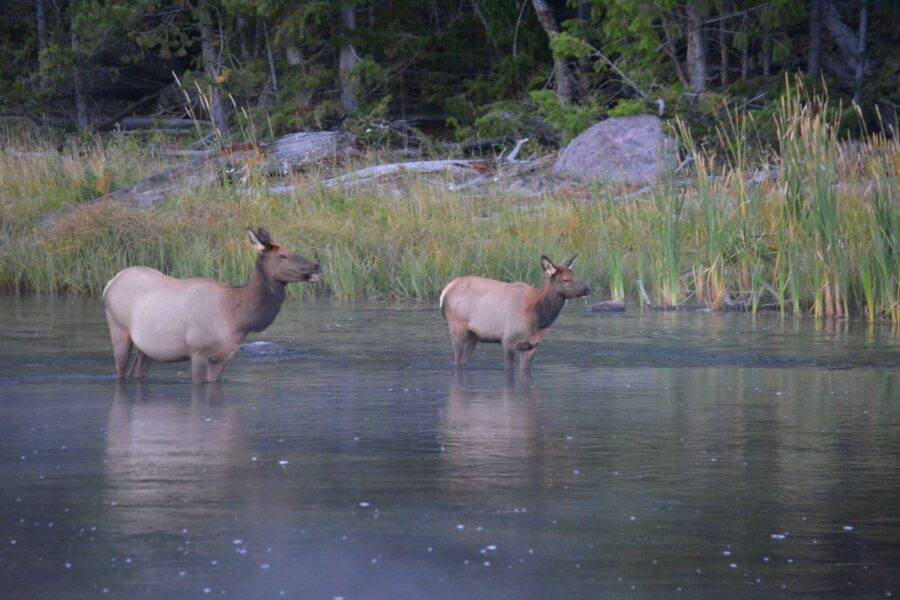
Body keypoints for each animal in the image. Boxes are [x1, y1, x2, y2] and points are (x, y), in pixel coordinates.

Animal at [103, 227, 320, 382]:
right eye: (282, 256)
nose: (316, 265)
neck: (238, 319)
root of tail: (110, 282)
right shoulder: (198, 351)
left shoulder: (224, 356)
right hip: (119, 330)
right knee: (121, 372)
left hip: (147, 347)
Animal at [438, 253, 592, 370]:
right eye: (565, 280)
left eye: (577, 276)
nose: (587, 289)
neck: (537, 320)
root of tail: (446, 290)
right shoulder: (508, 340)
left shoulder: (532, 346)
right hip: (457, 327)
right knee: (456, 360)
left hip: (474, 335)